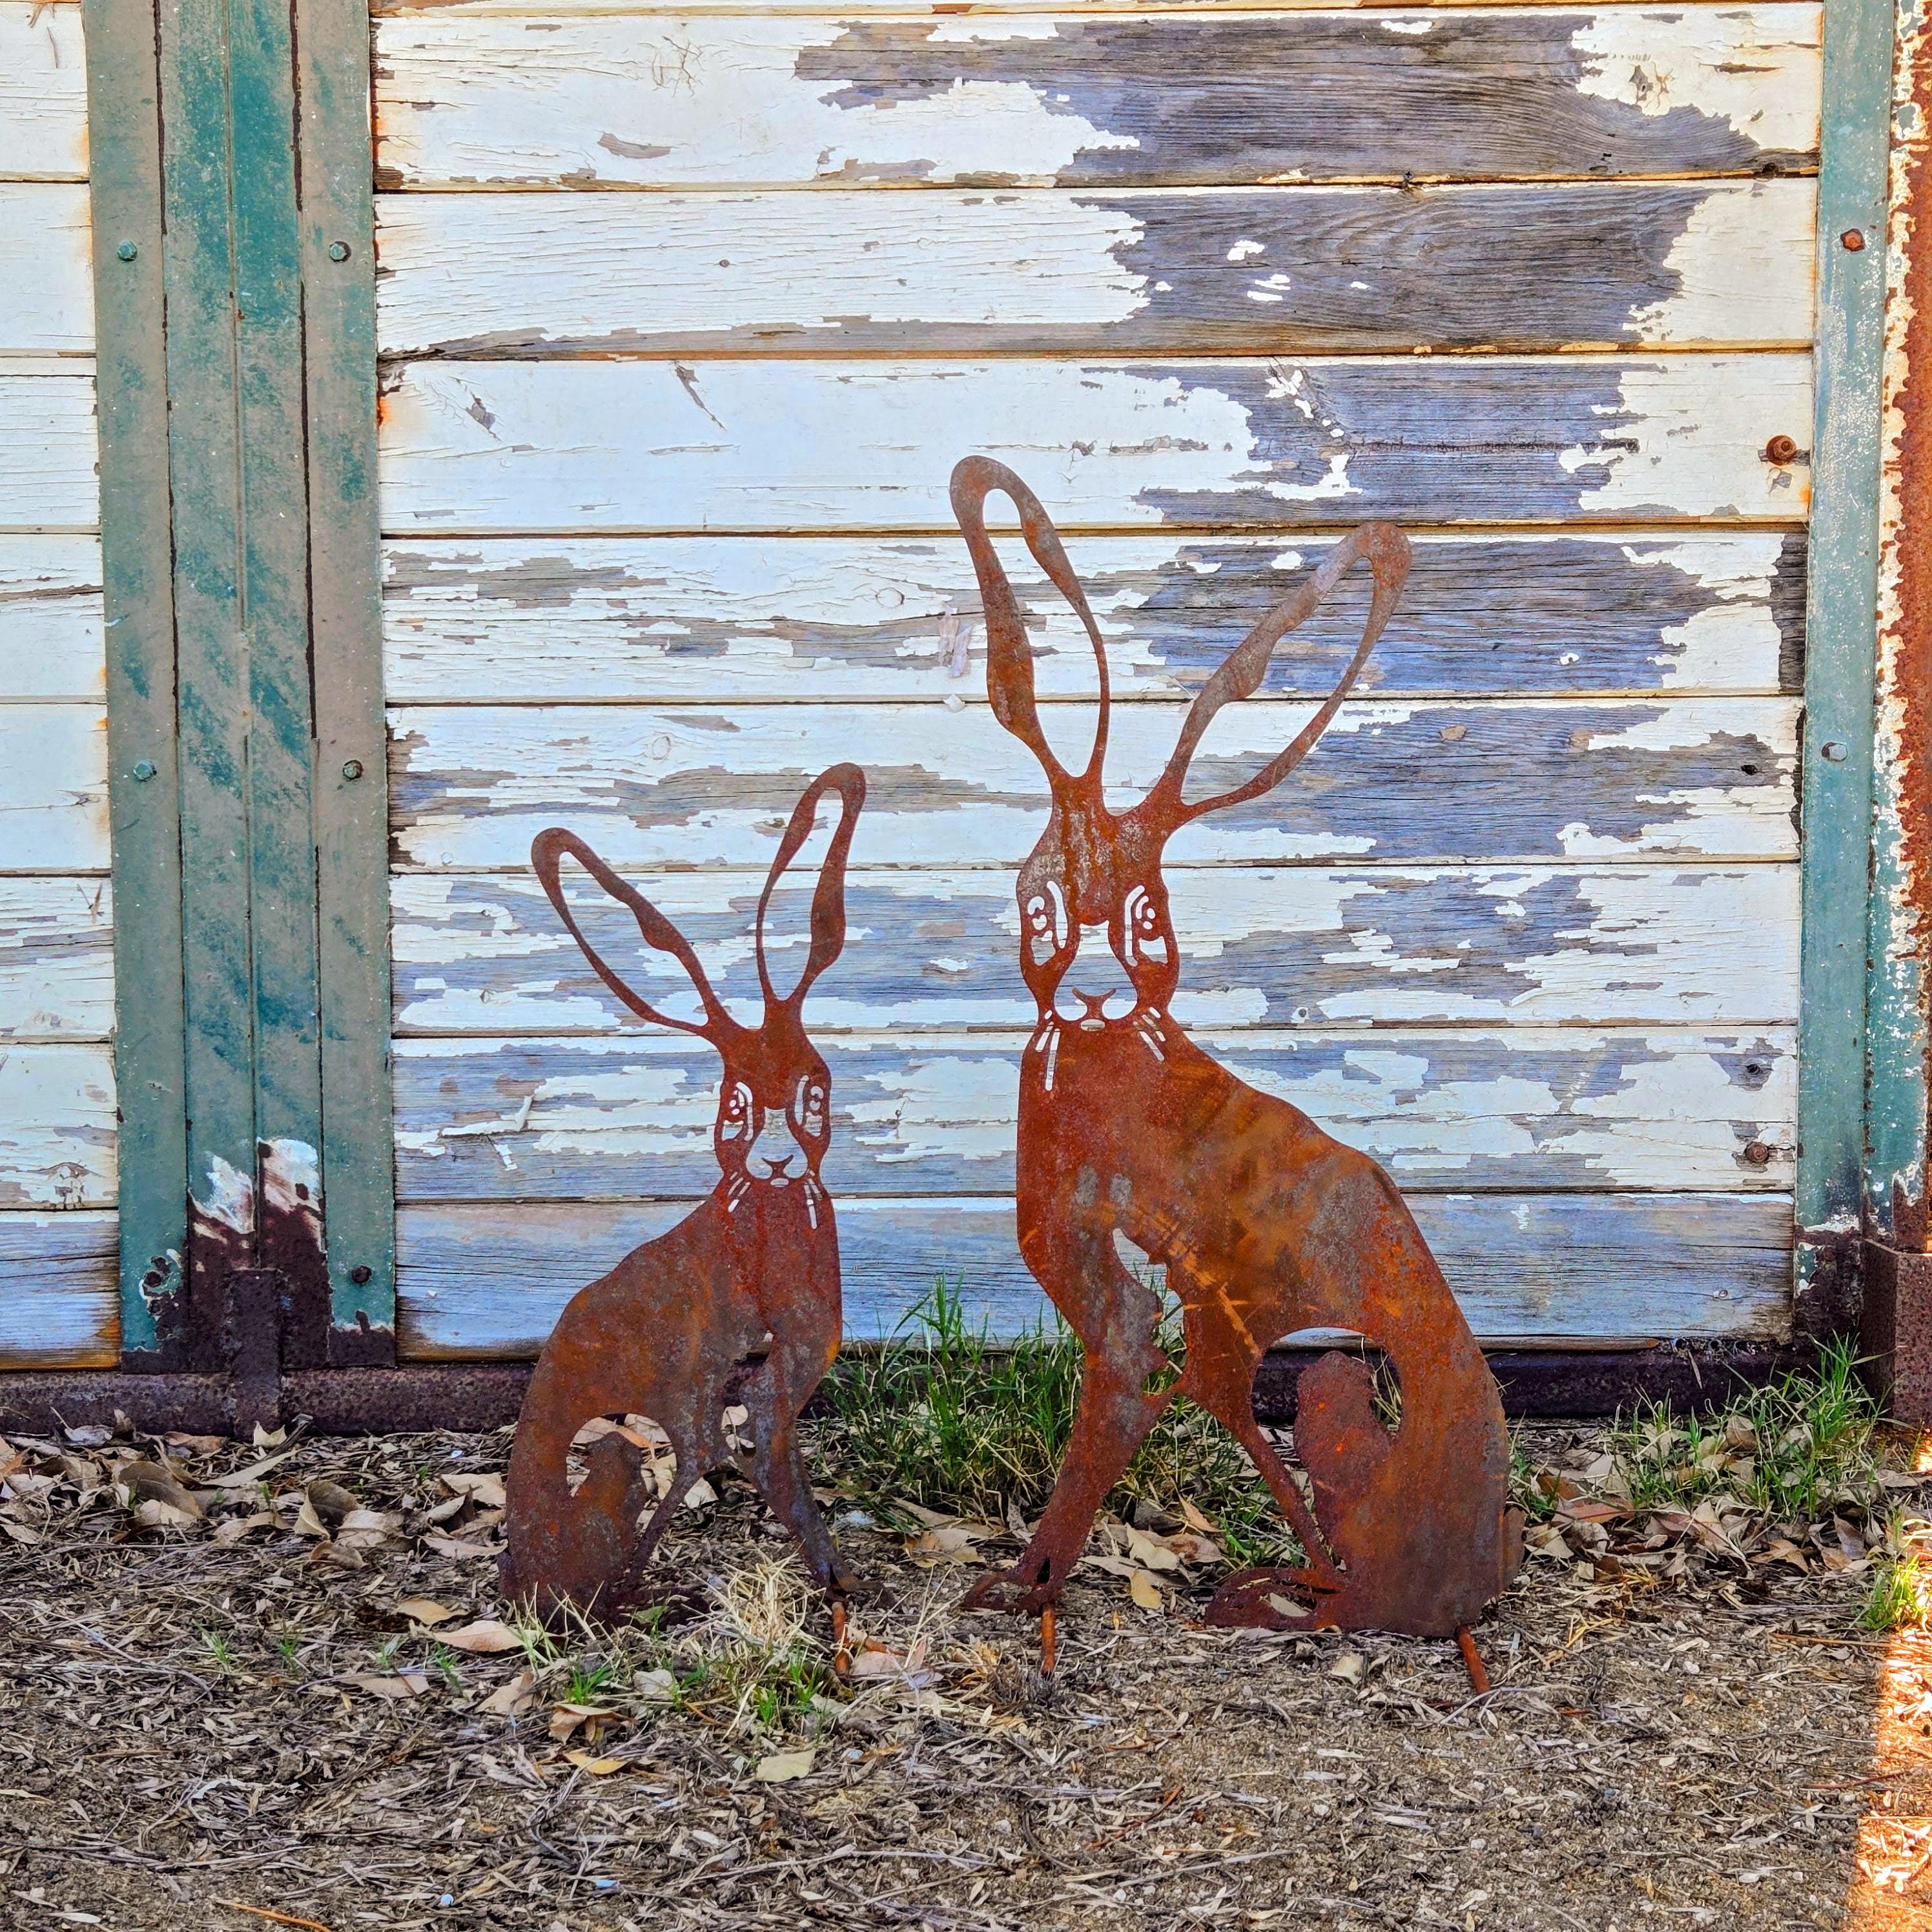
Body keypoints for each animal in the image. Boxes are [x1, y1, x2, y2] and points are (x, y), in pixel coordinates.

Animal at [500, 764, 866, 1618]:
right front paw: (833, 1584)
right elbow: (735, 1455)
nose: (776, 1161)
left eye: (815, 1091)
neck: (764, 1213)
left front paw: (838, 1584)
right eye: (733, 1104)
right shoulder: (725, 1384)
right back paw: (613, 1599)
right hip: (616, 1455)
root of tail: (522, 1582)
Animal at [947, 458, 1519, 1640]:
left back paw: (1277, 1598)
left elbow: (1107, 1431)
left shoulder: (1135, 1324)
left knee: (1338, 1549)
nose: (1094, 989)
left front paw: (1027, 1586)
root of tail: (1469, 1583)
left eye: (1149, 919)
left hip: (1330, 1392)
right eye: (1038, 907)